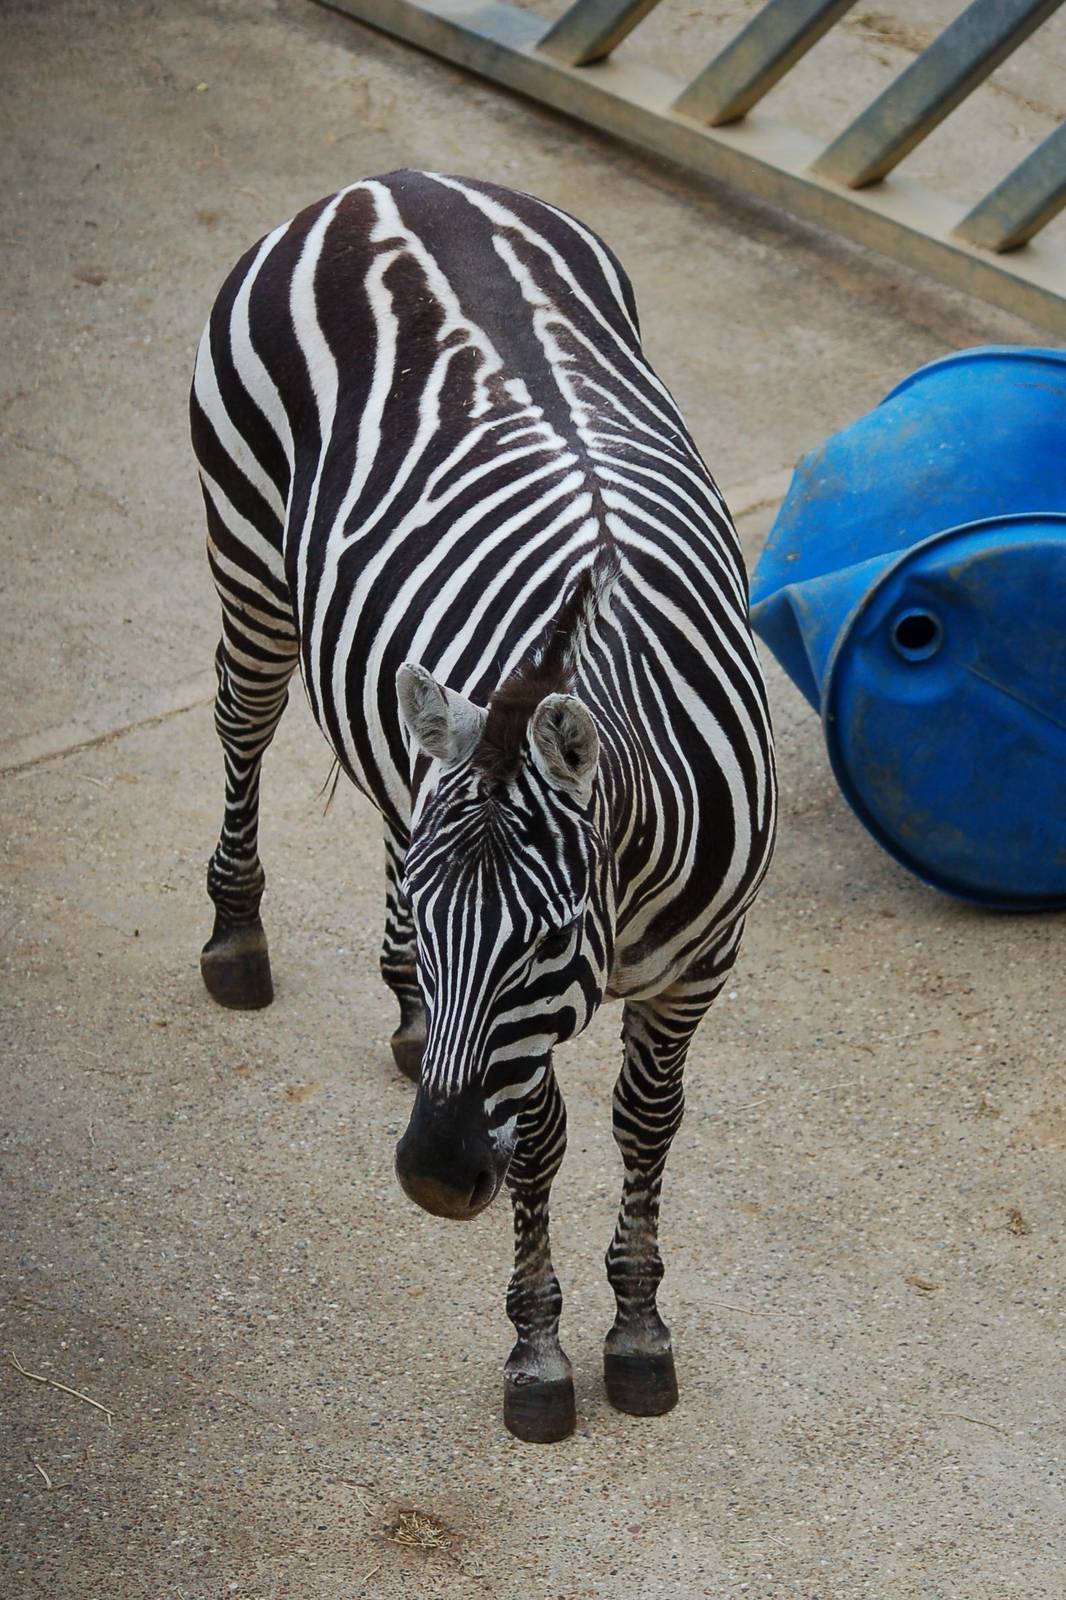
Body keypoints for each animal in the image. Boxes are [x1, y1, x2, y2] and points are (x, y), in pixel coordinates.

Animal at [192, 171, 777, 1443]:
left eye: (549, 938)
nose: (429, 1175)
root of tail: (394, 181)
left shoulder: (698, 968)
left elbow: (645, 1124)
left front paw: (639, 1329)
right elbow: (545, 1141)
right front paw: (539, 1351)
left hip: (400, 699)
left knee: (385, 791)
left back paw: (410, 1011)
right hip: (247, 555)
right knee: (242, 726)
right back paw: (237, 936)